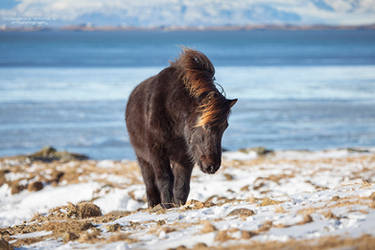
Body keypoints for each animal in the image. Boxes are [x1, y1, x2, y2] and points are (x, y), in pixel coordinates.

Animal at [126, 47, 238, 208]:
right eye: (203, 125)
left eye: (225, 127)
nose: (212, 166)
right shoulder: (157, 151)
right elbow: (165, 179)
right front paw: (167, 206)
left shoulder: (185, 155)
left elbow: (182, 185)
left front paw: (178, 205)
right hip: (142, 158)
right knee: (149, 182)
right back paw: (153, 205)